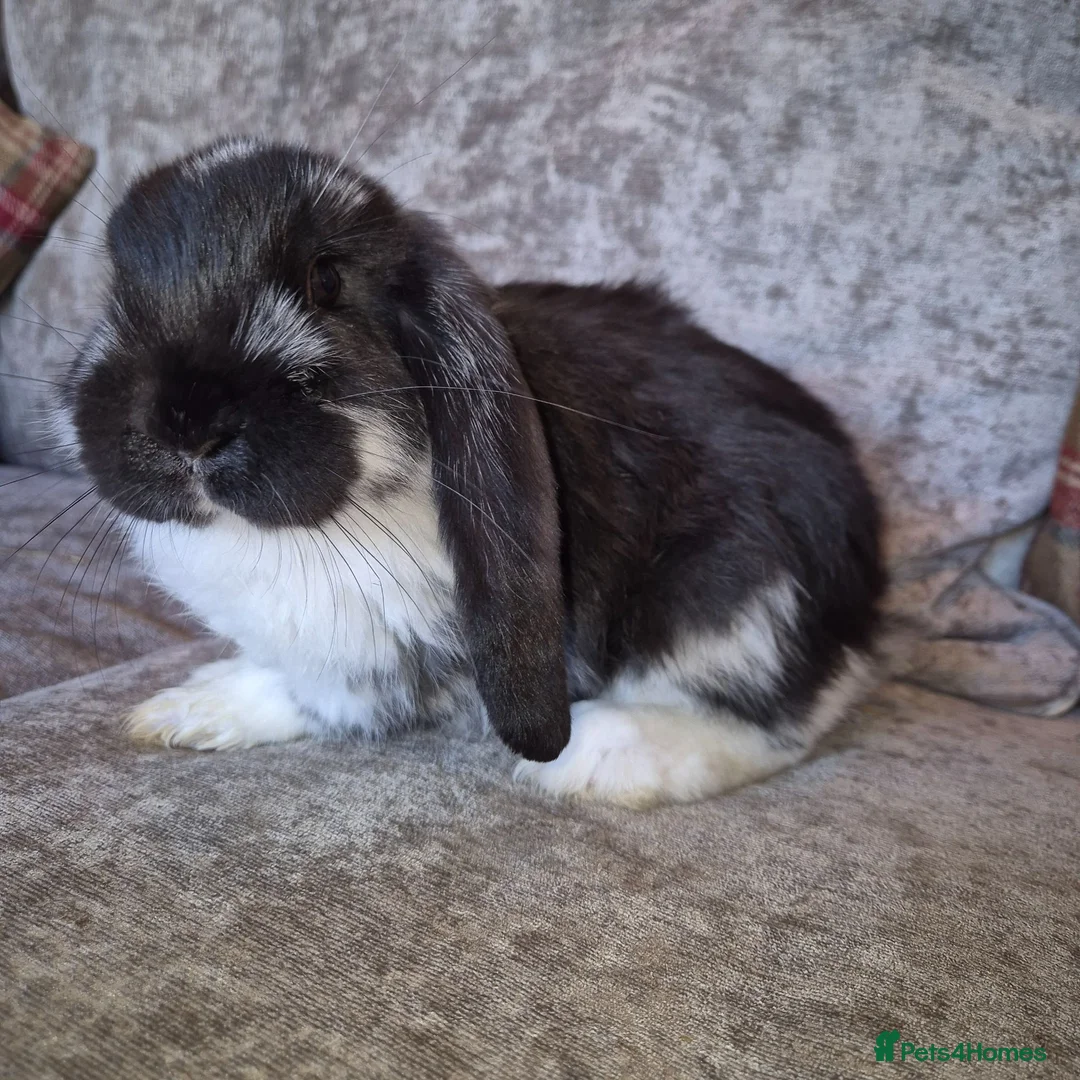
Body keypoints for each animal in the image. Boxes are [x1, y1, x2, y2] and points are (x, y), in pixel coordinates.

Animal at [59, 137, 885, 807]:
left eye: (326, 281)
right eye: (120, 291)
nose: (184, 426)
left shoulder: (381, 654)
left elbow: (330, 700)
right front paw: (186, 710)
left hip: (733, 593)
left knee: (787, 714)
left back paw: (599, 760)